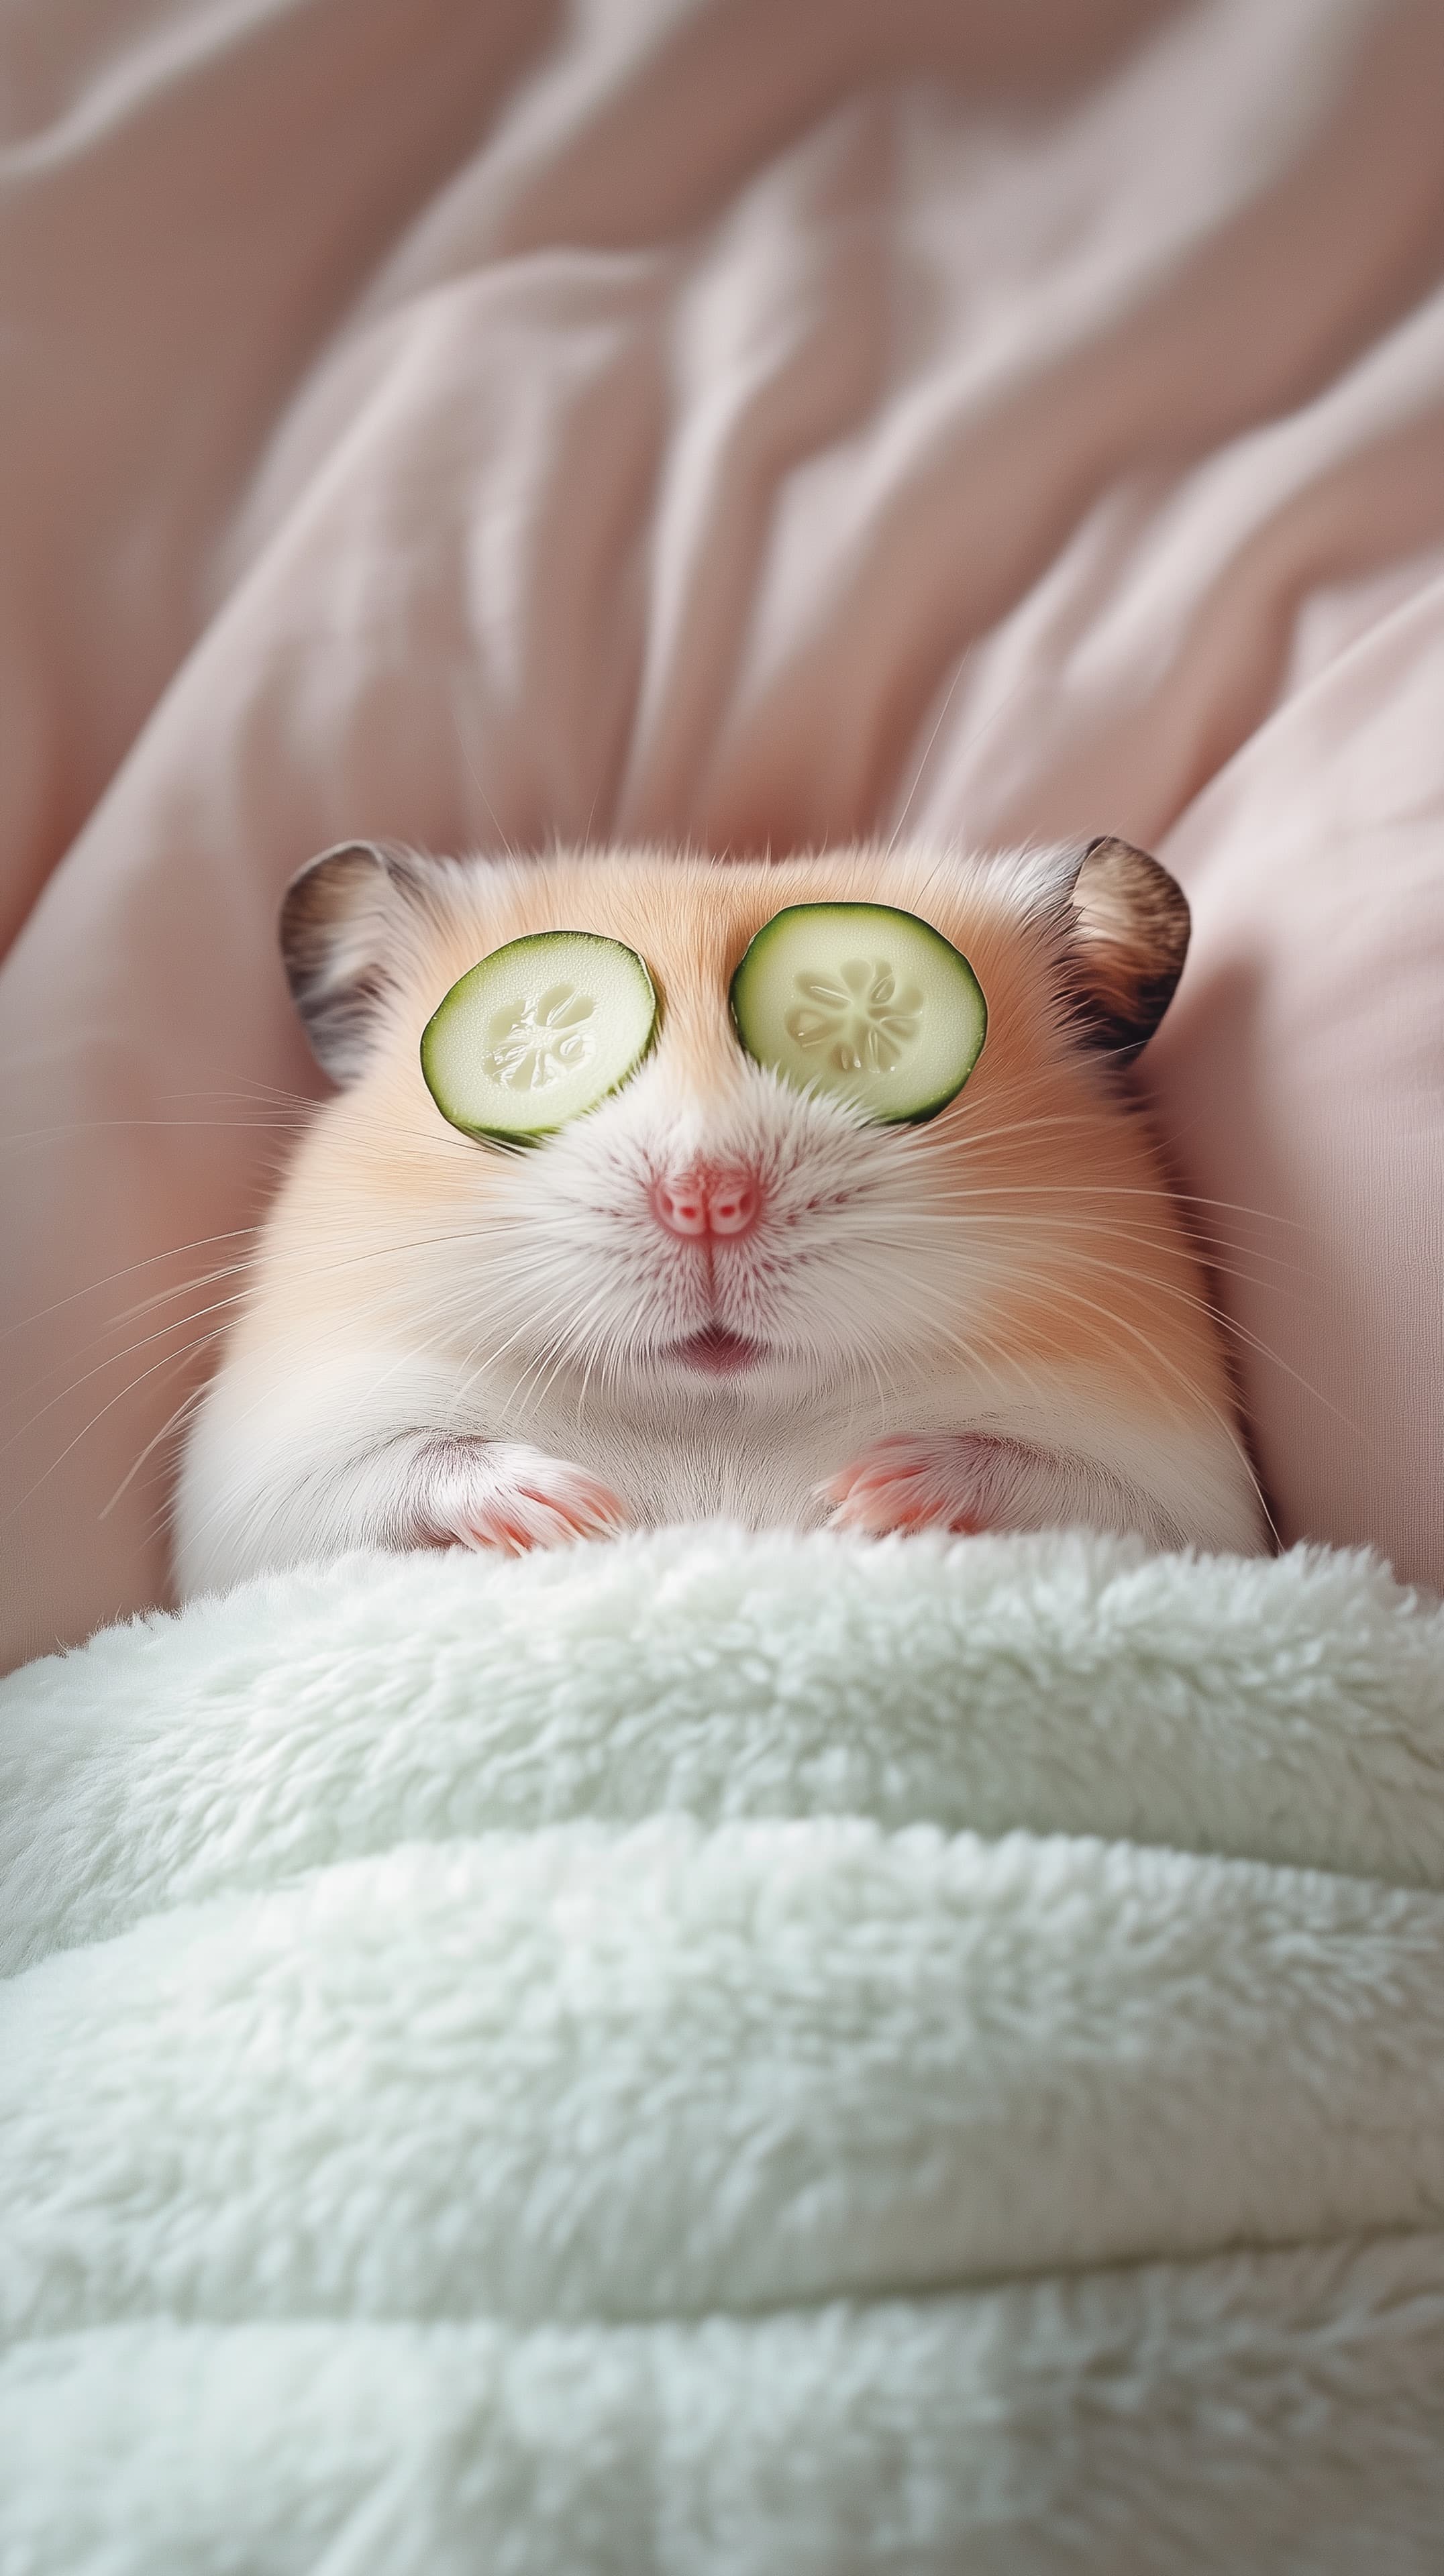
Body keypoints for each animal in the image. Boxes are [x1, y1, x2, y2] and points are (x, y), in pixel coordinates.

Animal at [172, 838, 1268, 1594]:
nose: (707, 1200)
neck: (716, 1415)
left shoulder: (1185, 1505)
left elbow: (1040, 1476)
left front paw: (866, 1494)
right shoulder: (264, 1498)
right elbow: (410, 1466)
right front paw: (573, 1513)